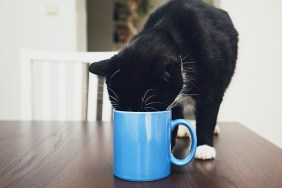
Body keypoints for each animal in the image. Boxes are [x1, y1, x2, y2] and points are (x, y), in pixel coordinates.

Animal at [88, 0, 238, 160]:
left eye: (147, 109)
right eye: (119, 107)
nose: (132, 115)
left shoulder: (212, 84)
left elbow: (207, 113)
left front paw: (205, 147)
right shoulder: (171, 99)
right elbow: (173, 117)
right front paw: (168, 146)